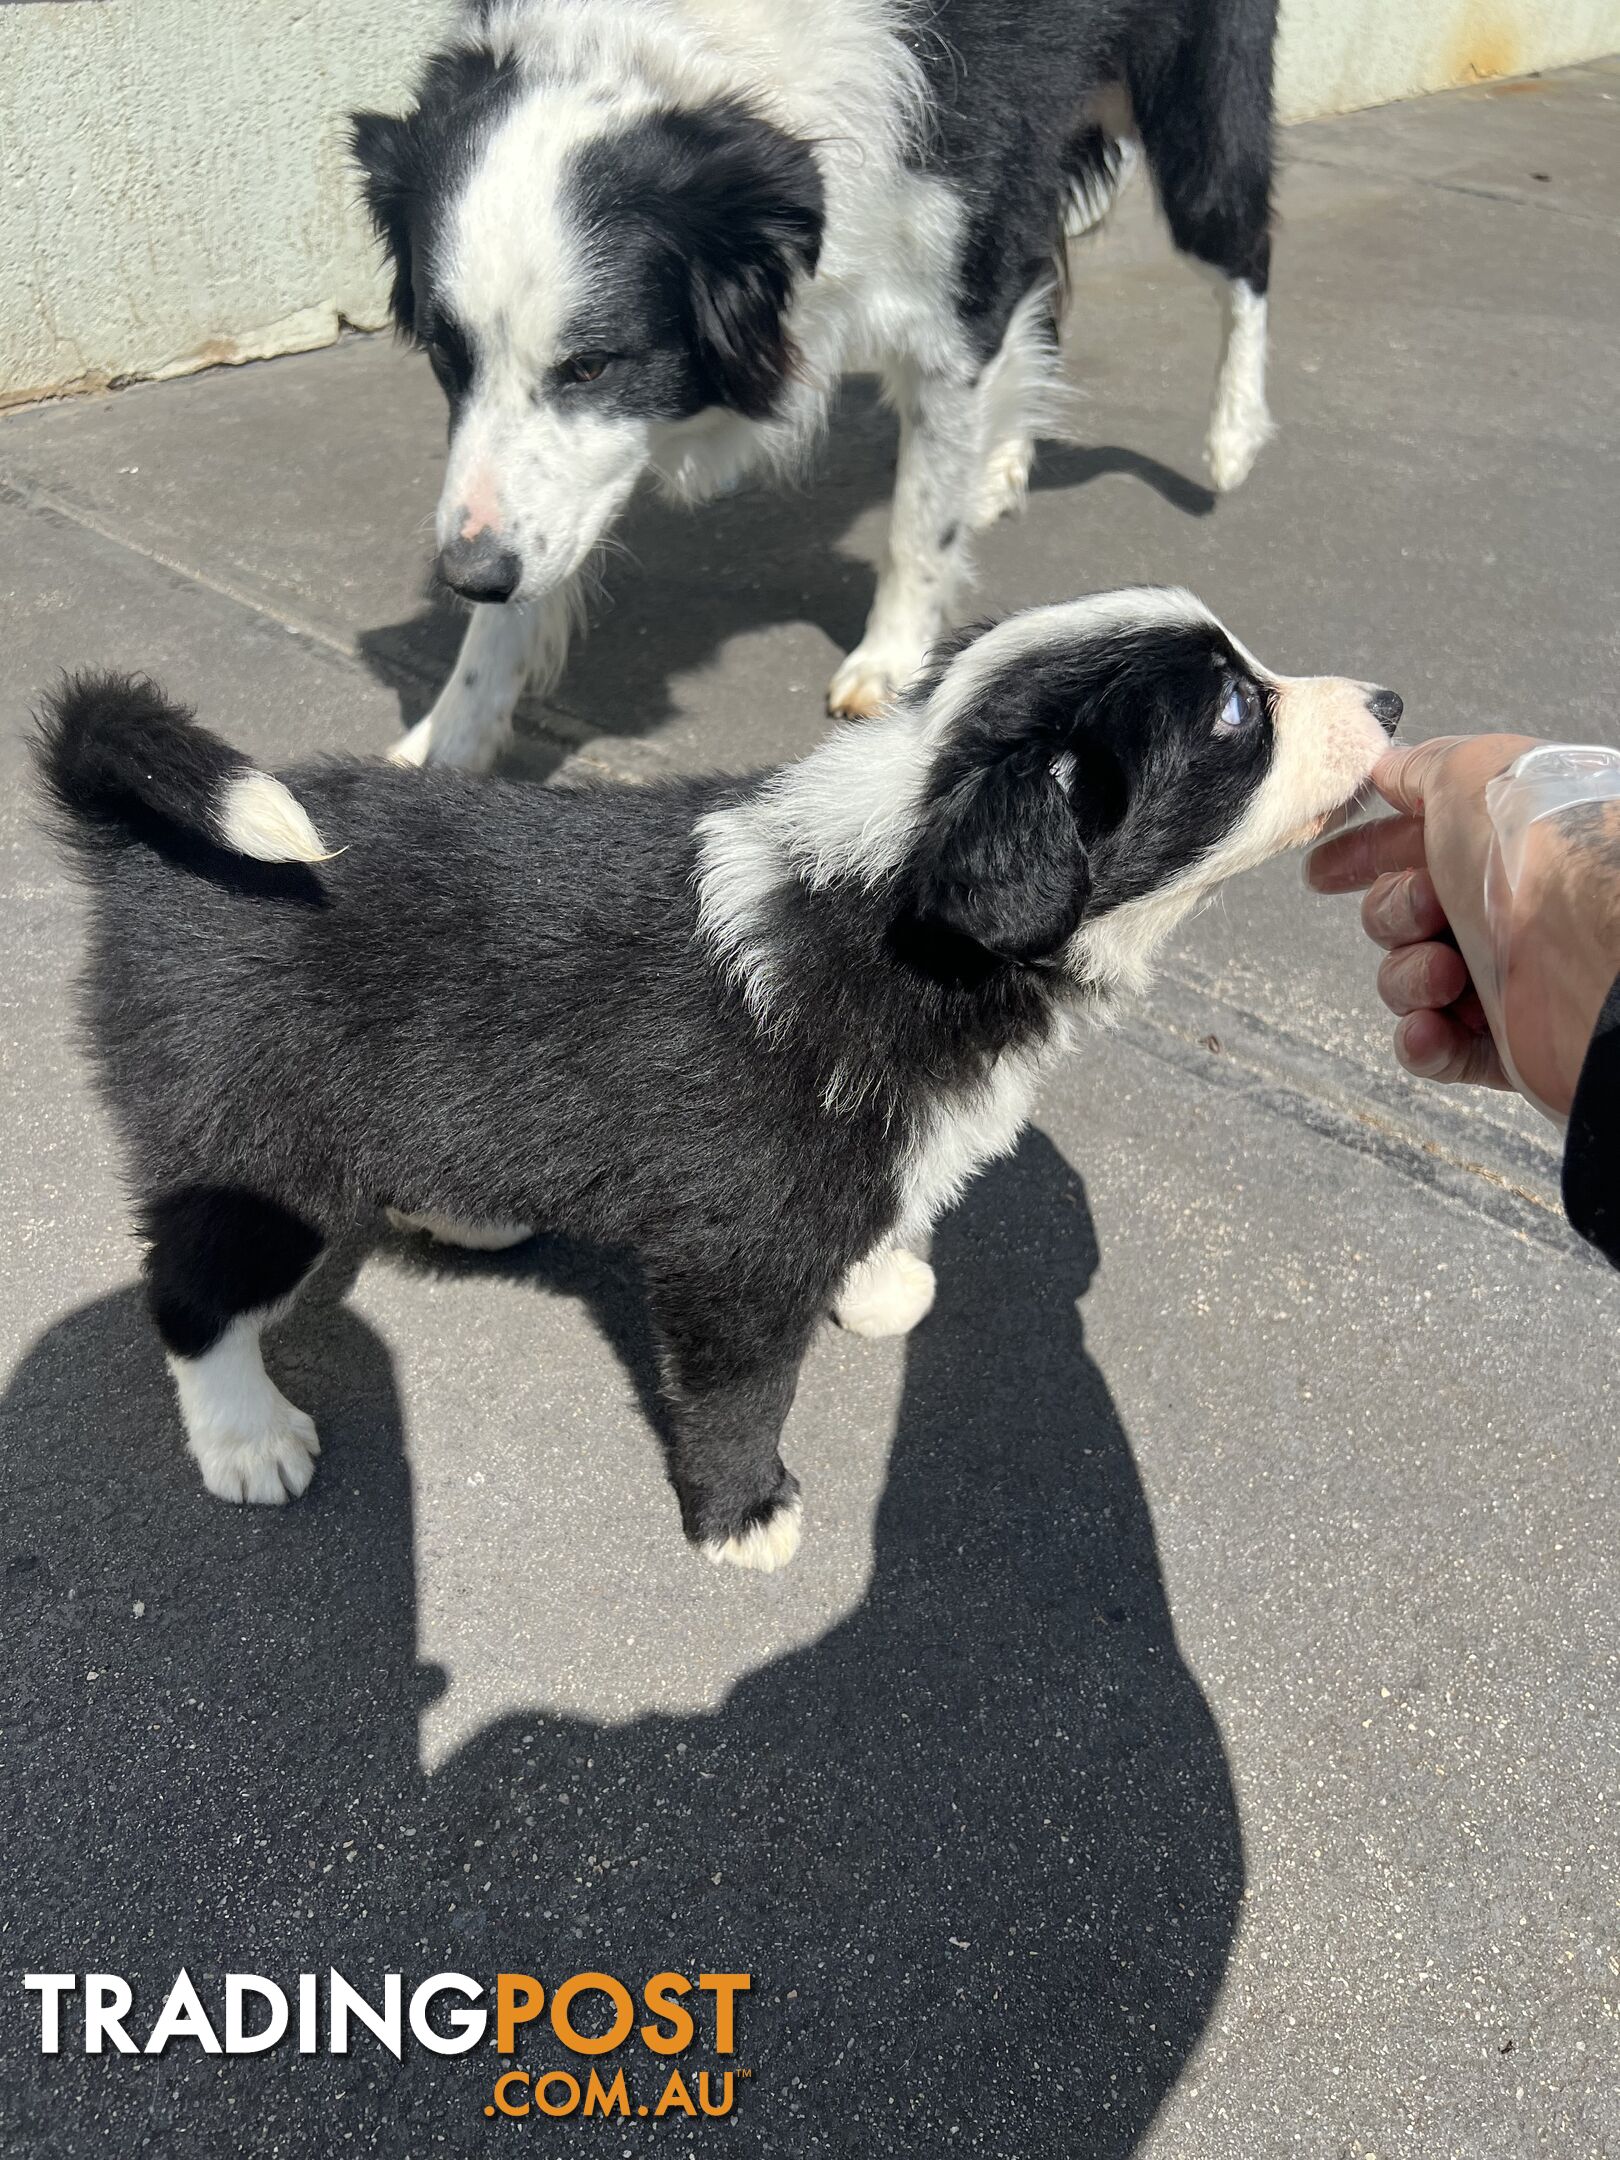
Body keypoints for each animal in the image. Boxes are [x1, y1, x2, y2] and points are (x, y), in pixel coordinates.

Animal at [38, 591, 1399, 1572]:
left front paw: (882, 1280)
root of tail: (145, 847)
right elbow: (744, 1394)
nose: (1391, 696)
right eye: (1234, 717)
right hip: (257, 1139)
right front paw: (745, 1514)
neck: (912, 899)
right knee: (197, 1292)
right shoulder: (736, 1251)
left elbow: (878, 1216)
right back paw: (246, 1435)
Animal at [354, 0, 1278, 773]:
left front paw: (890, 667)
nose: (467, 576)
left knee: (1233, 244)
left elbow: (919, 515)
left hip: (1190, 105)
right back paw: (1001, 465)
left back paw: (1232, 441)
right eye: (445, 353)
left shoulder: (946, 198)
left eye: (592, 364)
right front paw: (446, 742)